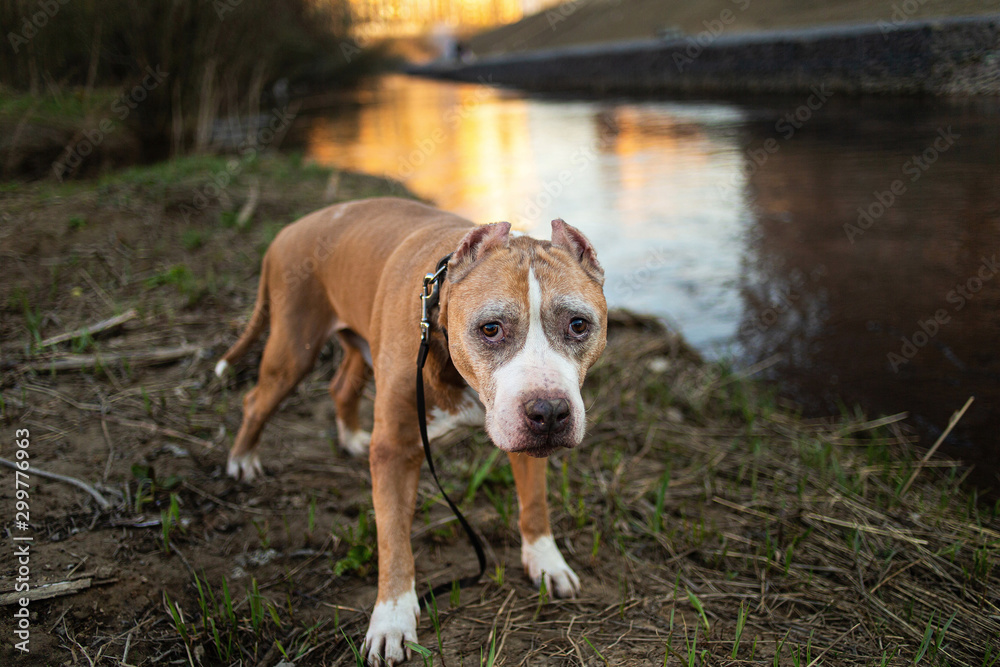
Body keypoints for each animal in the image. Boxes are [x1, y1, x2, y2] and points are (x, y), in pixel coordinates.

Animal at [215, 196, 604, 664]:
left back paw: (350, 437)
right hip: (293, 348)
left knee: (341, 384)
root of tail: (290, 230)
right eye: (490, 329)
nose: (548, 412)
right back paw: (242, 459)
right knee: (256, 400)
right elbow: (394, 541)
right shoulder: (394, 452)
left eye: (578, 325)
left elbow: (535, 502)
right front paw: (392, 622)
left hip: (357, 344)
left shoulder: (523, 437)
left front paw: (546, 562)